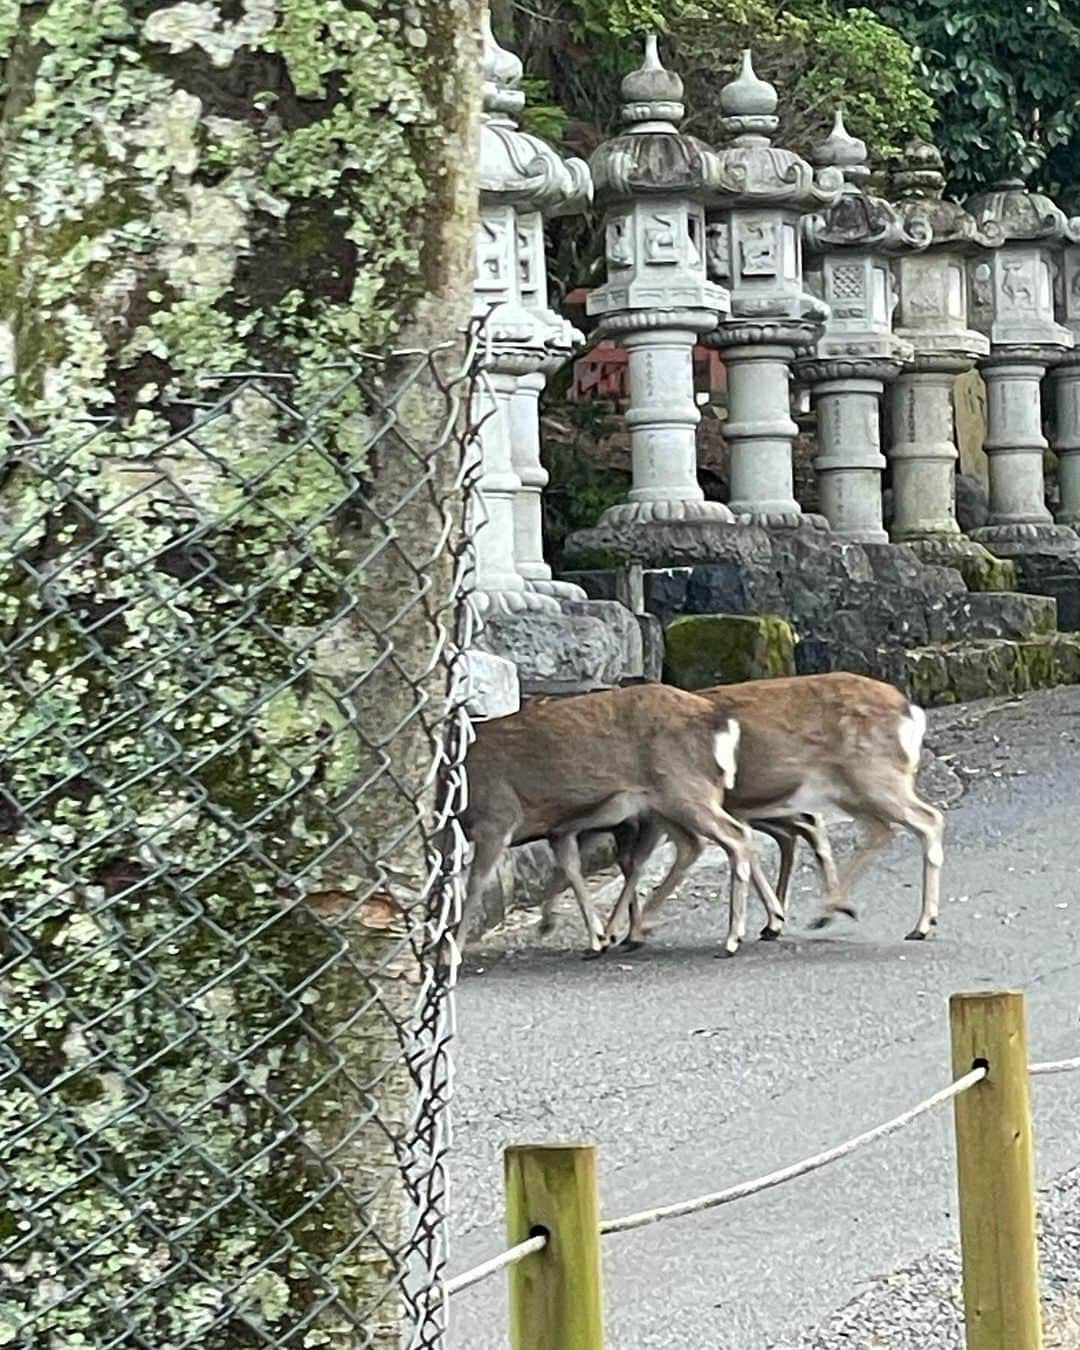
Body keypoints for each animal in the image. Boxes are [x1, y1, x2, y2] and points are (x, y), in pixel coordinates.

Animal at [459, 685, 788, 961]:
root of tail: (721, 723)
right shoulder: (559, 829)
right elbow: (572, 872)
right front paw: (595, 938)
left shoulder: (496, 818)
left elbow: (474, 884)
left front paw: (453, 951)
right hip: (667, 805)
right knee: (694, 844)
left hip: (686, 791)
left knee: (734, 836)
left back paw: (733, 938)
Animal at [545, 672, 939, 950]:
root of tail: (911, 711)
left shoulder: (656, 813)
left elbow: (635, 862)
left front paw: (618, 932)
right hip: (851, 789)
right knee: (869, 828)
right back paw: (833, 911)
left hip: (872, 777)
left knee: (926, 819)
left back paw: (917, 924)